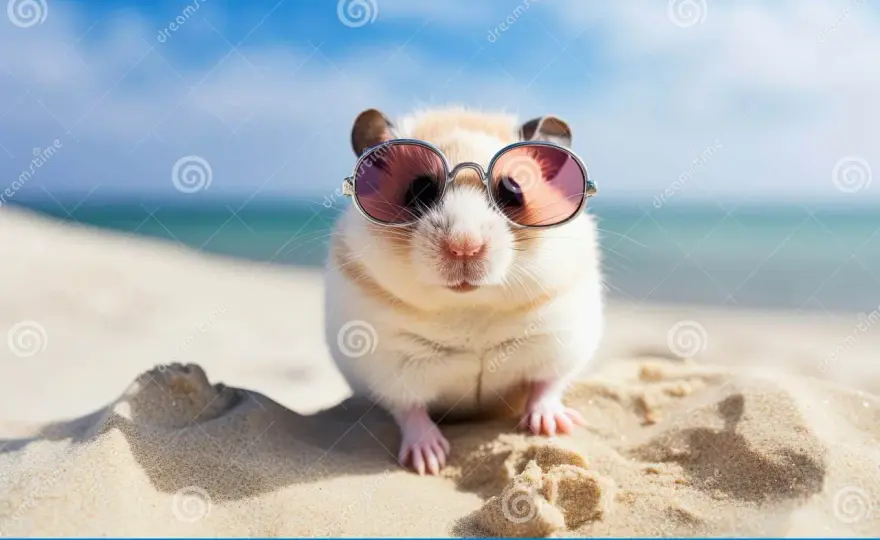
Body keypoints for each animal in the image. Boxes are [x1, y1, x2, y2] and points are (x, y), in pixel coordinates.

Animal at [324, 106, 603, 475]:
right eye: (419, 191)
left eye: (513, 191)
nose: (464, 247)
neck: (471, 306)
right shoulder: (389, 362)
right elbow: (409, 409)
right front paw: (429, 462)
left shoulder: (559, 340)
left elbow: (548, 384)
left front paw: (554, 427)